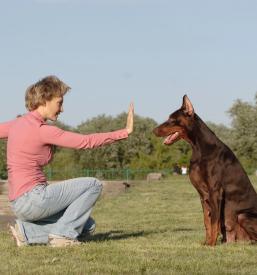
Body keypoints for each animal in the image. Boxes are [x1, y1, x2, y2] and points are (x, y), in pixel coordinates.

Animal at [153, 96, 256, 247]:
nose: (153, 130)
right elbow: (206, 221)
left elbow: (214, 221)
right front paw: (206, 242)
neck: (198, 148)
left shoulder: (215, 191)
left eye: (172, 119)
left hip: (243, 215)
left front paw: (212, 244)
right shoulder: (203, 195)